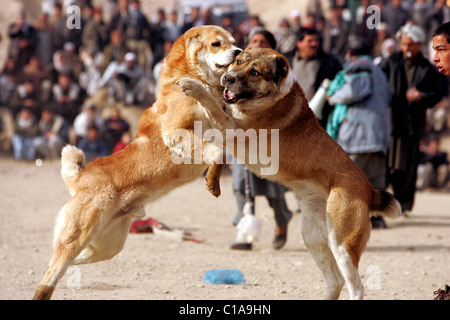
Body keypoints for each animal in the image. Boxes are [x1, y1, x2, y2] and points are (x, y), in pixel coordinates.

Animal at [33, 25, 241, 300]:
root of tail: (80, 178)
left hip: (109, 246)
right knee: (51, 273)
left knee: (64, 261)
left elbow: (220, 137)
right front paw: (212, 182)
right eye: (217, 43)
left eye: (234, 42)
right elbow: (218, 152)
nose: (239, 51)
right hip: (79, 236)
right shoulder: (176, 133)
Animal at [178, 48, 400, 300]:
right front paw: (212, 181)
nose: (227, 78)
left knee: (356, 286)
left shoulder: (232, 128)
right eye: (238, 62)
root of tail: (369, 190)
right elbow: (217, 118)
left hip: (342, 244)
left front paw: (193, 86)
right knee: (336, 280)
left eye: (255, 72)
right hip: (313, 238)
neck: (269, 98)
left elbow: (212, 104)